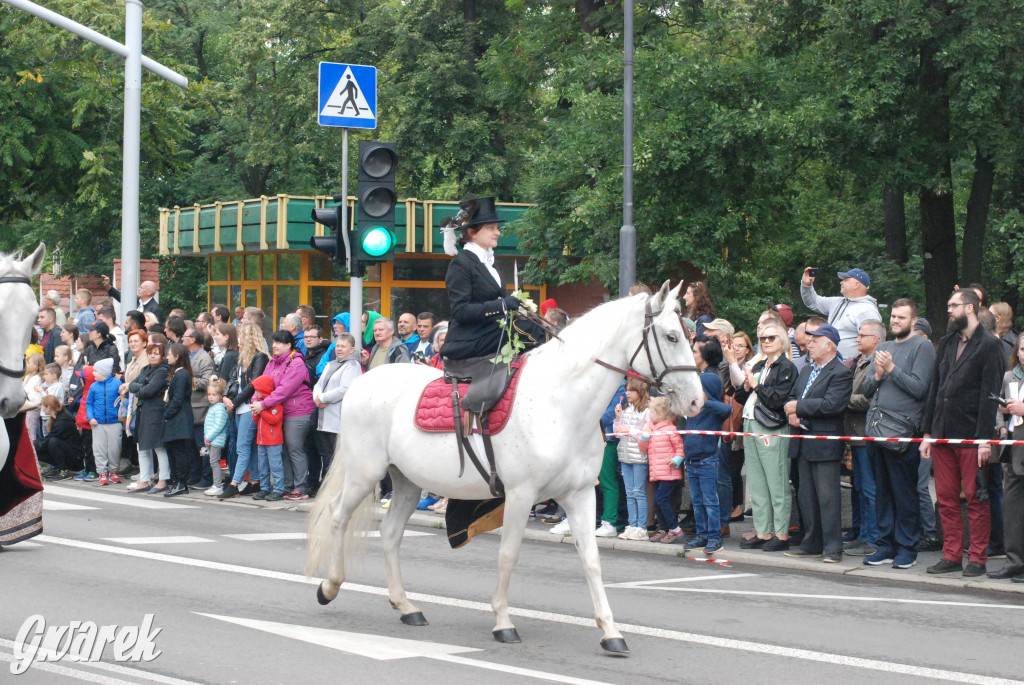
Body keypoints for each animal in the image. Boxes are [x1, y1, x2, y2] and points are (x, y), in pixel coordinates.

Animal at [303, 278, 704, 651]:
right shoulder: (520, 494)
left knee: (389, 535)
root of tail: (361, 381)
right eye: (670, 336)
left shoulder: (579, 495)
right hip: (364, 473)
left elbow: (591, 560)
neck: (562, 403)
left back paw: (406, 607)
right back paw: (329, 586)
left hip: (406, 482)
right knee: (338, 516)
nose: (697, 402)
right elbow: (508, 554)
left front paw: (611, 632)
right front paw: (503, 622)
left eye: (688, 335)